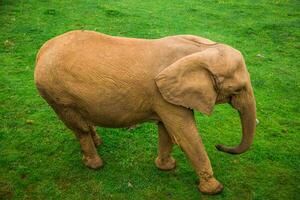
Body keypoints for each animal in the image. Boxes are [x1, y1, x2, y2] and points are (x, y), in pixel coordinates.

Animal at [34, 30, 255, 195]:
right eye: (238, 89)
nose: (219, 145)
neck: (200, 50)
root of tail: (42, 50)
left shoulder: (166, 97)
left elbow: (167, 130)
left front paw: (167, 167)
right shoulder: (163, 96)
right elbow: (185, 134)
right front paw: (214, 189)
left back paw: (98, 143)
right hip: (56, 93)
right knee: (79, 128)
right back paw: (95, 164)